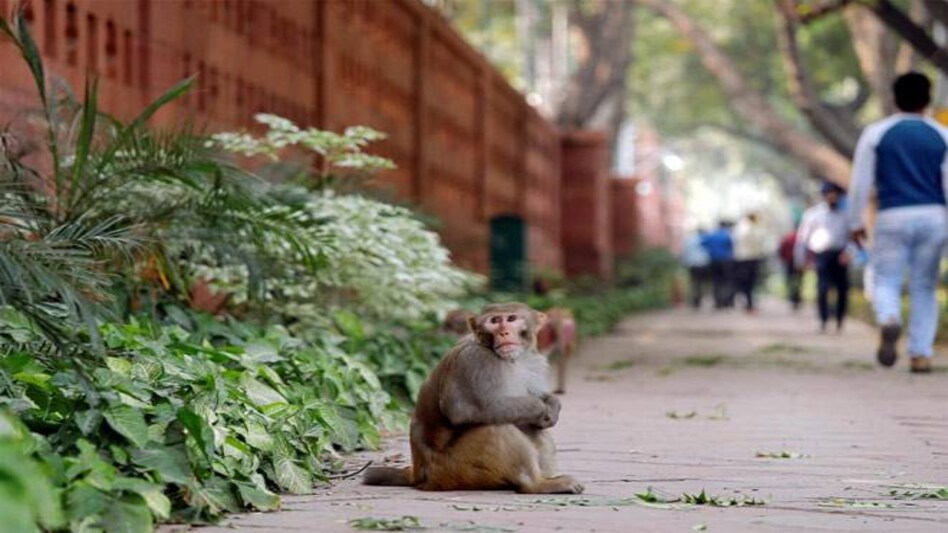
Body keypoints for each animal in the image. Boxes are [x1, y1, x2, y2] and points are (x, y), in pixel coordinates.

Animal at [365, 302, 584, 494]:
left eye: (511, 318)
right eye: (494, 321)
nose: (504, 333)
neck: (508, 359)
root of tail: (418, 473)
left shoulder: (532, 361)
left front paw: (552, 405)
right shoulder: (475, 360)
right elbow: (465, 409)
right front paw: (539, 408)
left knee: (533, 431)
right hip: (454, 470)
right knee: (496, 427)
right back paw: (535, 485)